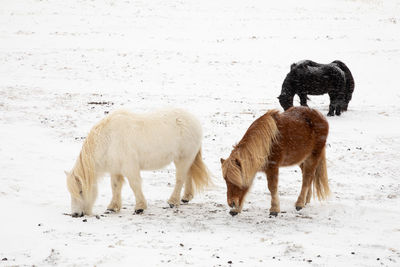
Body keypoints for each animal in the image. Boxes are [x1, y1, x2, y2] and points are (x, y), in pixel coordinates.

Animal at [65, 108, 211, 218]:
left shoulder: (130, 167)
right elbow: (115, 187)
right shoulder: (115, 169)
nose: (75, 214)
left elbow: (135, 185)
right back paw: (186, 198)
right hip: (186, 159)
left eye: (81, 191)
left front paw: (140, 208)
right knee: (188, 175)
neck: (109, 140)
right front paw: (113, 207)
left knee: (180, 179)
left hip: (183, 158)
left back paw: (173, 202)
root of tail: (194, 120)